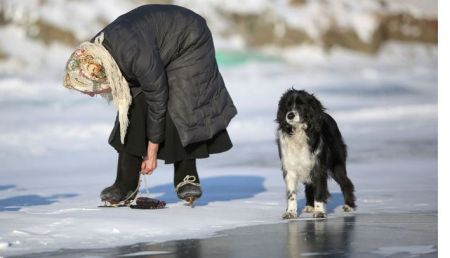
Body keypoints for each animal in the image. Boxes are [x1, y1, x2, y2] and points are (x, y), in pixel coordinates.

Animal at [276, 87, 356, 219]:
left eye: (301, 105)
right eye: (287, 105)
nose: (290, 115)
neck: (299, 132)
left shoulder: (318, 166)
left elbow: (319, 190)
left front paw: (319, 212)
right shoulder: (290, 167)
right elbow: (291, 193)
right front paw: (290, 212)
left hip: (336, 164)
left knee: (346, 182)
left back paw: (349, 205)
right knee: (309, 185)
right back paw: (309, 206)